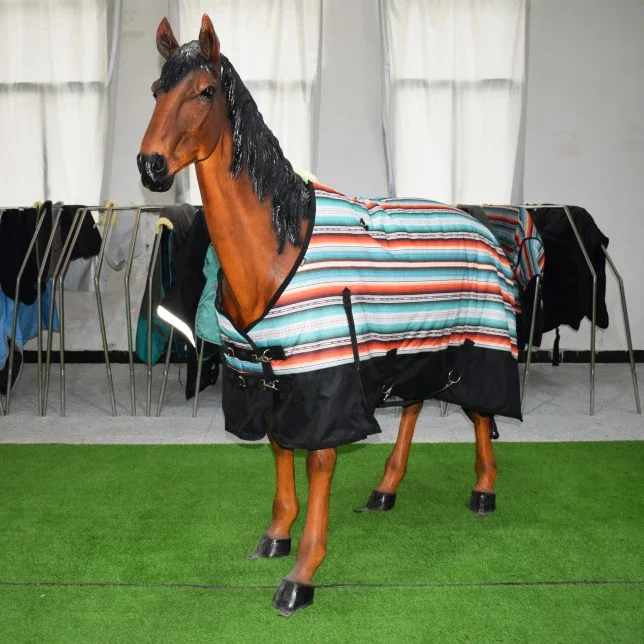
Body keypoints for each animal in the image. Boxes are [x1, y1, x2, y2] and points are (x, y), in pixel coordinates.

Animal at [139, 15, 522, 616]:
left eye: (204, 92)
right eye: (157, 90)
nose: (150, 165)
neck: (277, 246)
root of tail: (485, 225)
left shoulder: (326, 381)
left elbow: (318, 460)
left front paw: (302, 575)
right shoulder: (265, 376)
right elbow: (280, 448)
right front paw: (276, 536)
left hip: (478, 341)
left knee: (482, 410)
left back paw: (484, 491)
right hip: (415, 347)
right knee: (415, 406)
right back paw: (386, 490)